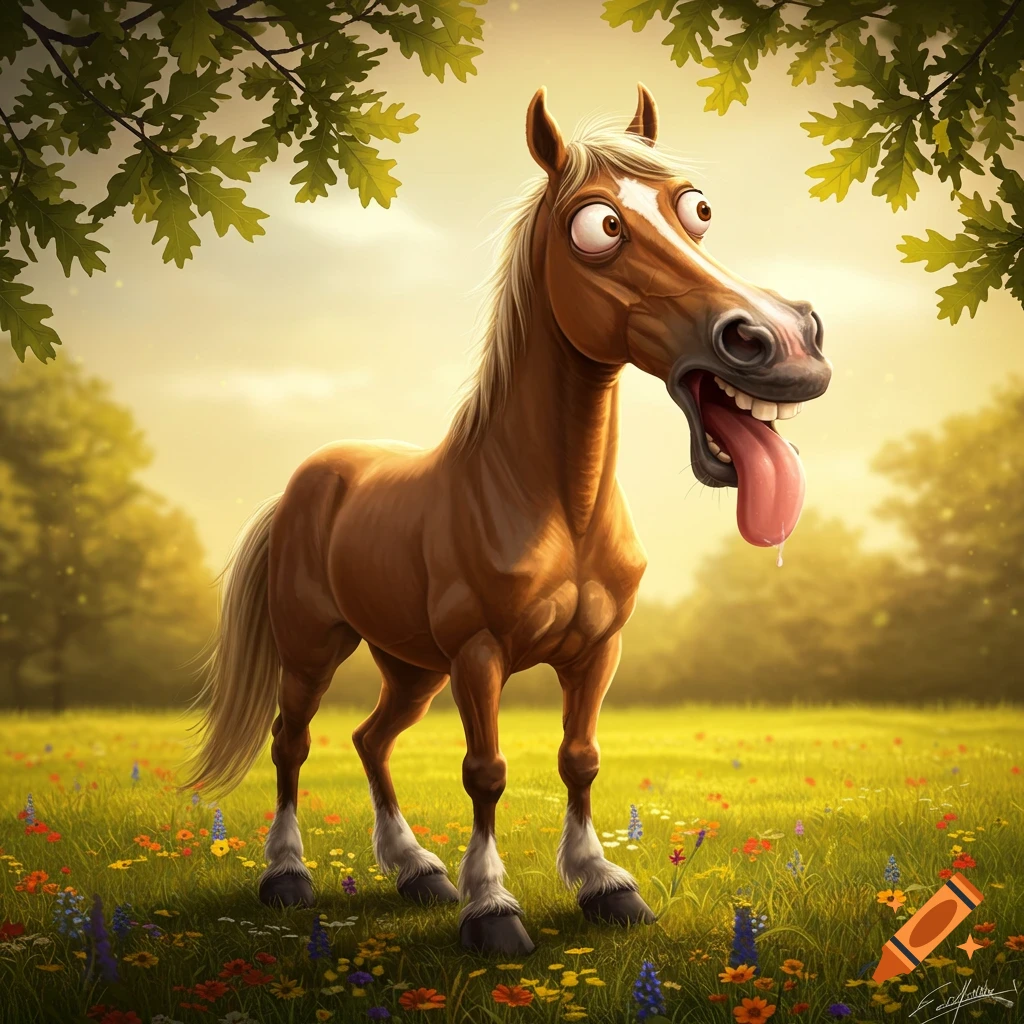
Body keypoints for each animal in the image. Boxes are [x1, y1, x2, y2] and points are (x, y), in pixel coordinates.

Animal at [184, 84, 831, 956]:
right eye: (598, 226)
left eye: (696, 207)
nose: (786, 341)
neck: (557, 503)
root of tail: (302, 486)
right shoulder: (480, 655)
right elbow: (484, 772)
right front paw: (491, 908)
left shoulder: (597, 650)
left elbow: (580, 758)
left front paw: (603, 885)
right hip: (317, 646)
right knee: (294, 743)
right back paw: (288, 876)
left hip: (411, 665)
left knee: (371, 739)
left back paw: (416, 872)